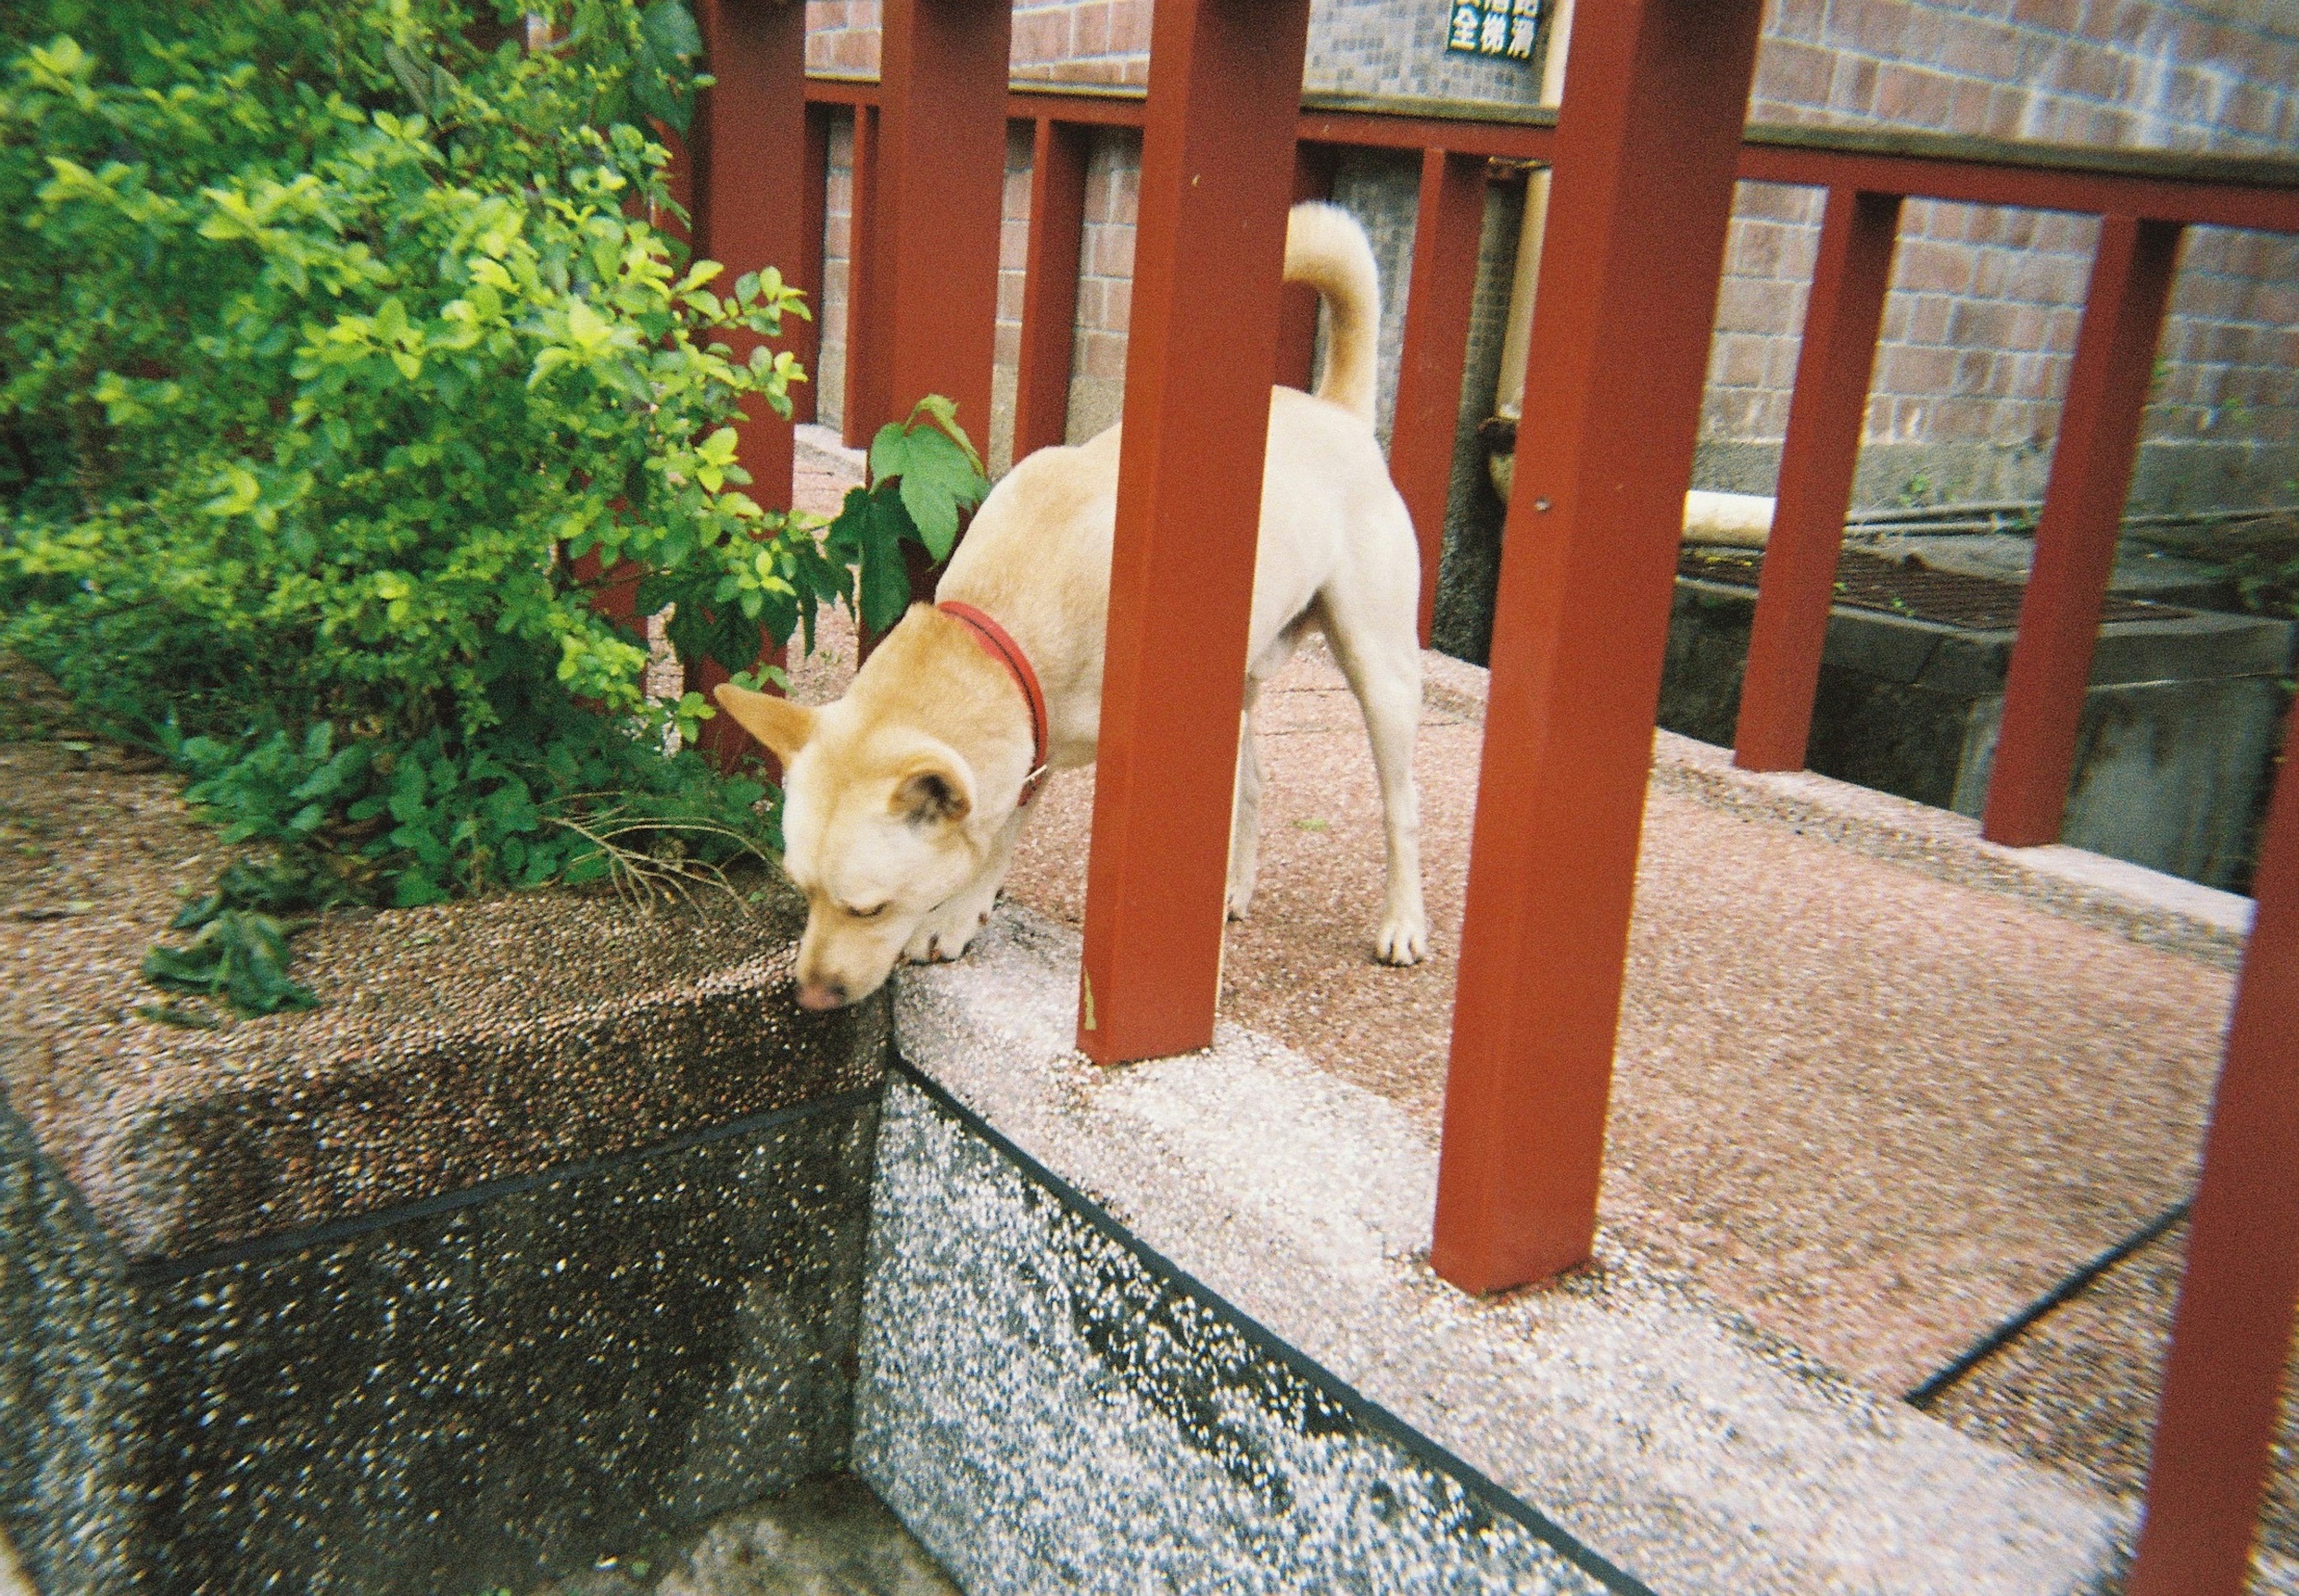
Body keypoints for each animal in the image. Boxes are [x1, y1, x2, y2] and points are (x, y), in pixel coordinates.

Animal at [717, 203, 1416, 1012]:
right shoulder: (1037, 731)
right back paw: (1232, 889)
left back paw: (1402, 921)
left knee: (1399, 805)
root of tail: (1338, 411)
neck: (1019, 596)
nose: (810, 997)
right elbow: (1005, 819)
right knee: (1251, 782)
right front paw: (966, 905)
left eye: (870, 908)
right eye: (802, 890)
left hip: (1379, 670)